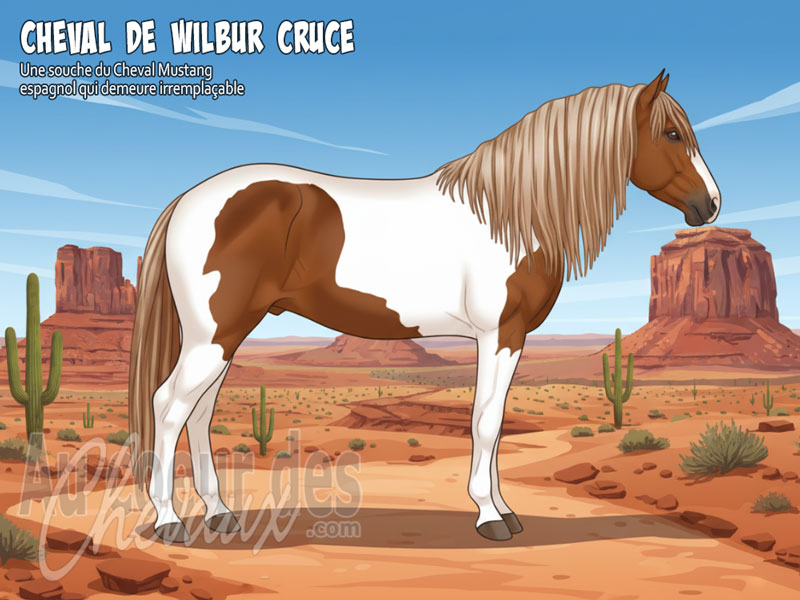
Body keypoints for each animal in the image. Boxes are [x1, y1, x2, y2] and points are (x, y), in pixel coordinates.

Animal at [128, 71, 720, 543]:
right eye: (671, 134)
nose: (710, 205)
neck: (511, 216)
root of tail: (189, 200)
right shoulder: (498, 335)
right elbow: (485, 422)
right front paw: (490, 517)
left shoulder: (512, 339)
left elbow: (494, 424)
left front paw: (504, 509)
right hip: (214, 335)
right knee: (168, 406)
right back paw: (169, 522)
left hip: (223, 337)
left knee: (199, 413)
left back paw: (220, 513)